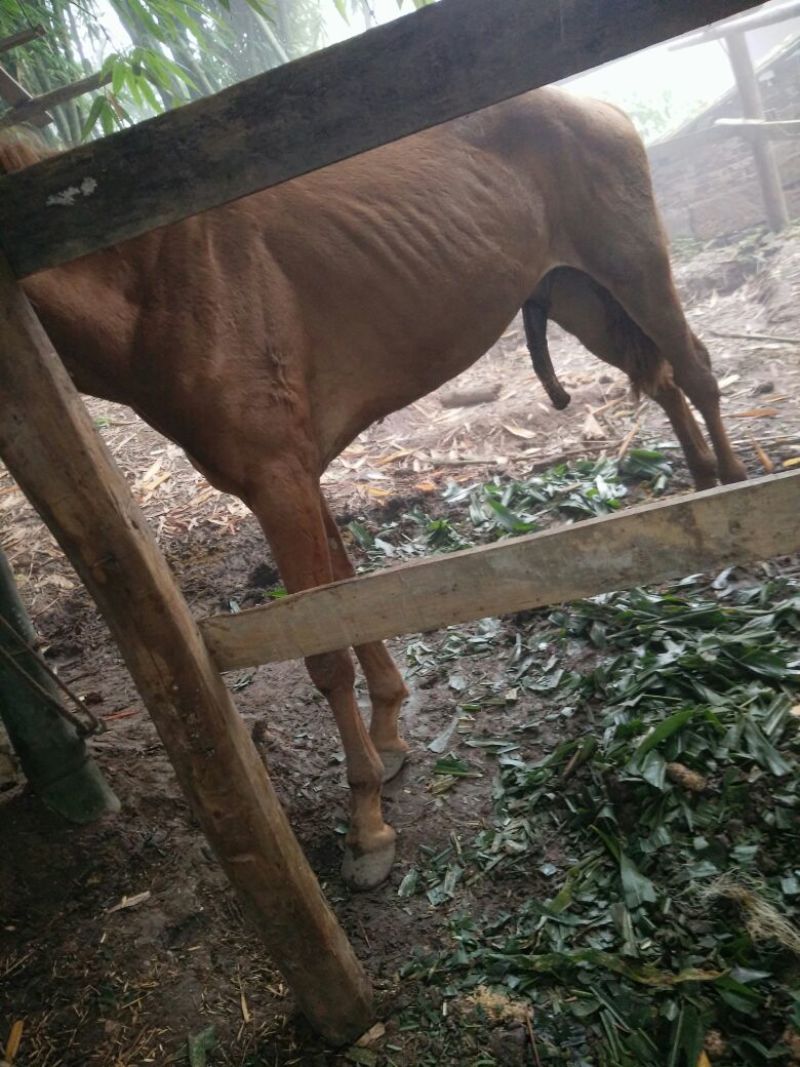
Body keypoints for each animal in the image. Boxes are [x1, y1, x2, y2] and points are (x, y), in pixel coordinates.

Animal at [0, 86, 746, 889]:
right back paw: (701, 492)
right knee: (663, 379)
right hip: (583, 296)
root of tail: (594, 104)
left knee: (696, 371)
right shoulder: (298, 475)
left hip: (635, 270)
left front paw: (366, 825)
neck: (151, 285)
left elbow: (325, 652)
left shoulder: (278, 482)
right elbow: (349, 603)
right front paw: (389, 736)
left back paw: (736, 506)